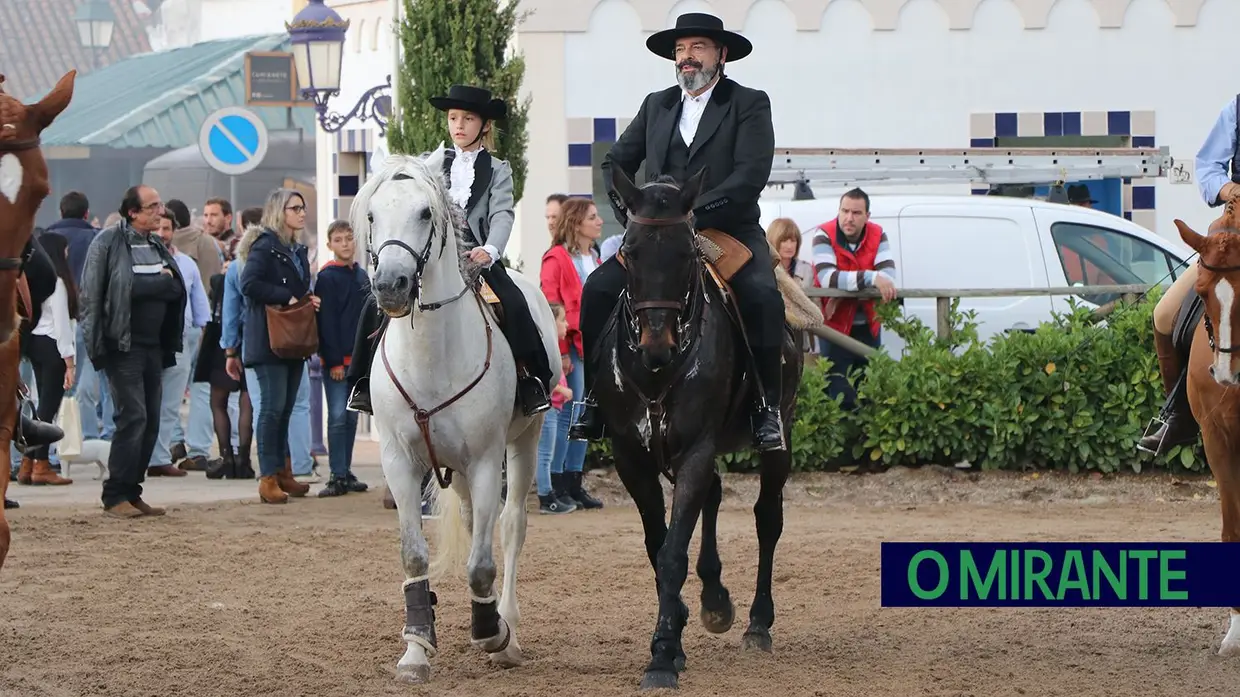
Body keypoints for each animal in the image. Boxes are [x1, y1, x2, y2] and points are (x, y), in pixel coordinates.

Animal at [349, 143, 562, 679]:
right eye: (372, 215)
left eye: (426, 213)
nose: (392, 285)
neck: (430, 353)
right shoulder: (400, 463)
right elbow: (414, 557)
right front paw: (415, 648)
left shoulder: (487, 461)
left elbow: (483, 563)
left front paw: (492, 633)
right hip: (459, 469)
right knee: (471, 521)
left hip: (524, 443)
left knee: (509, 526)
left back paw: (506, 625)